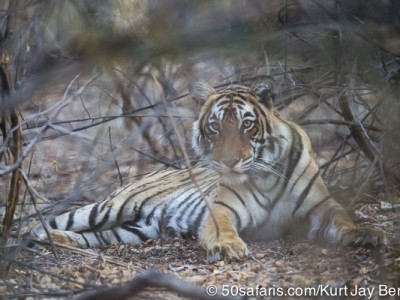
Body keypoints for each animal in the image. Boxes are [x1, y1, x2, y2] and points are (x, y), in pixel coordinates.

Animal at [32, 79, 390, 262]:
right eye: (215, 126)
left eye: (247, 124)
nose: (228, 161)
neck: (266, 173)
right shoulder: (221, 210)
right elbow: (223, 229)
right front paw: (229, 247)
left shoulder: (322, 207)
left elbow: (344, 218)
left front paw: (367, 233)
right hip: (112, 206)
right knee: (47, 222)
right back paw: (40, 237)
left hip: (134, 230)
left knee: (92, 236)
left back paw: (60, 241)